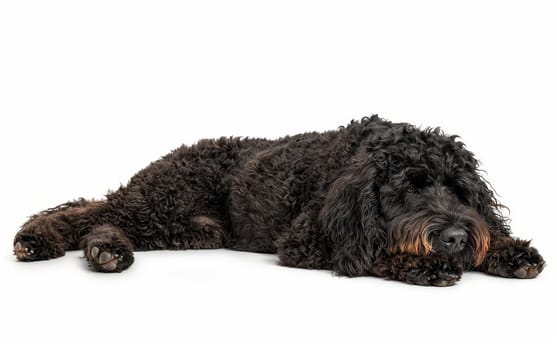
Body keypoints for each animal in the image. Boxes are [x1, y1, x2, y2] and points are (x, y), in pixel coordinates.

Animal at [13, 116, 544, 286]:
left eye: (457, 189)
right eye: (408, 188)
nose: (454, 238)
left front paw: (509, 250)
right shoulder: (307, 239)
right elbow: (367, 253)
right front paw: (424, 265)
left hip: (191, 230)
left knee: (93, 214)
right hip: (164, 200)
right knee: (91, 213)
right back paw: (56, 242)